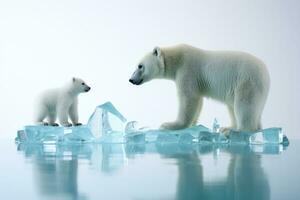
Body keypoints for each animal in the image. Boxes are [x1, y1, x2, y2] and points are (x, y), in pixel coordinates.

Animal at [129, 44, 270, 131]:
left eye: (140, 66)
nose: (130, 80)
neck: (177, 58)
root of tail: (266, 73)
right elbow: (198, 101)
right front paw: (193, 124)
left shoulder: (187, 70)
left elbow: (188, 98)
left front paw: (169, 125)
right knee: (233, 107)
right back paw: (230, 127)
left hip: (247, 81)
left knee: (244, 104)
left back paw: (236, 131)